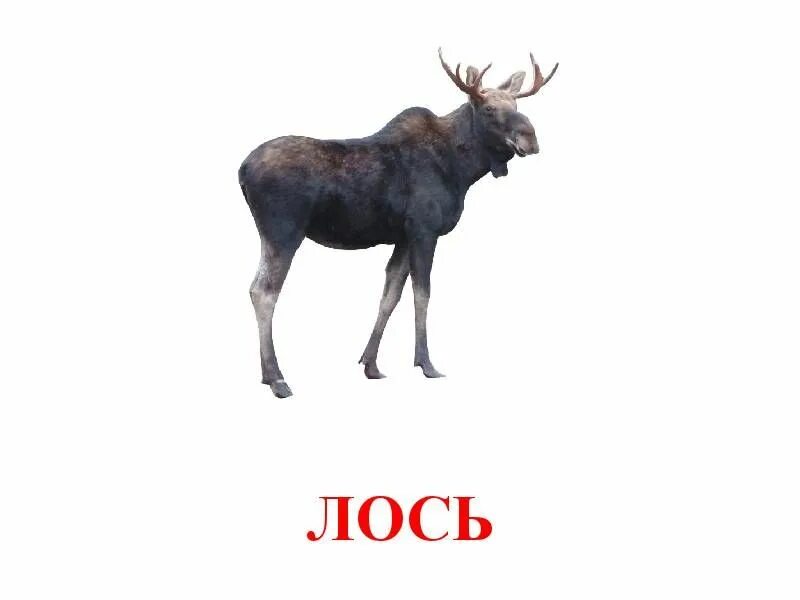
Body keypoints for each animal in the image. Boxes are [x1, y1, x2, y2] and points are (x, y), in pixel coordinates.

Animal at [239, 49, 558, 397]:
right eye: (489, 109)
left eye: (516, 106)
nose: (531, 139)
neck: (462, 170)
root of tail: (242, 170)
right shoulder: (424, 230)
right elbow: (422, 294)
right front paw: (426, 364)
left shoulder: (403, 236)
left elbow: (390, 295)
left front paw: (371, 364)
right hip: (283, 232)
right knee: (263, 292)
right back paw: (276, 378)